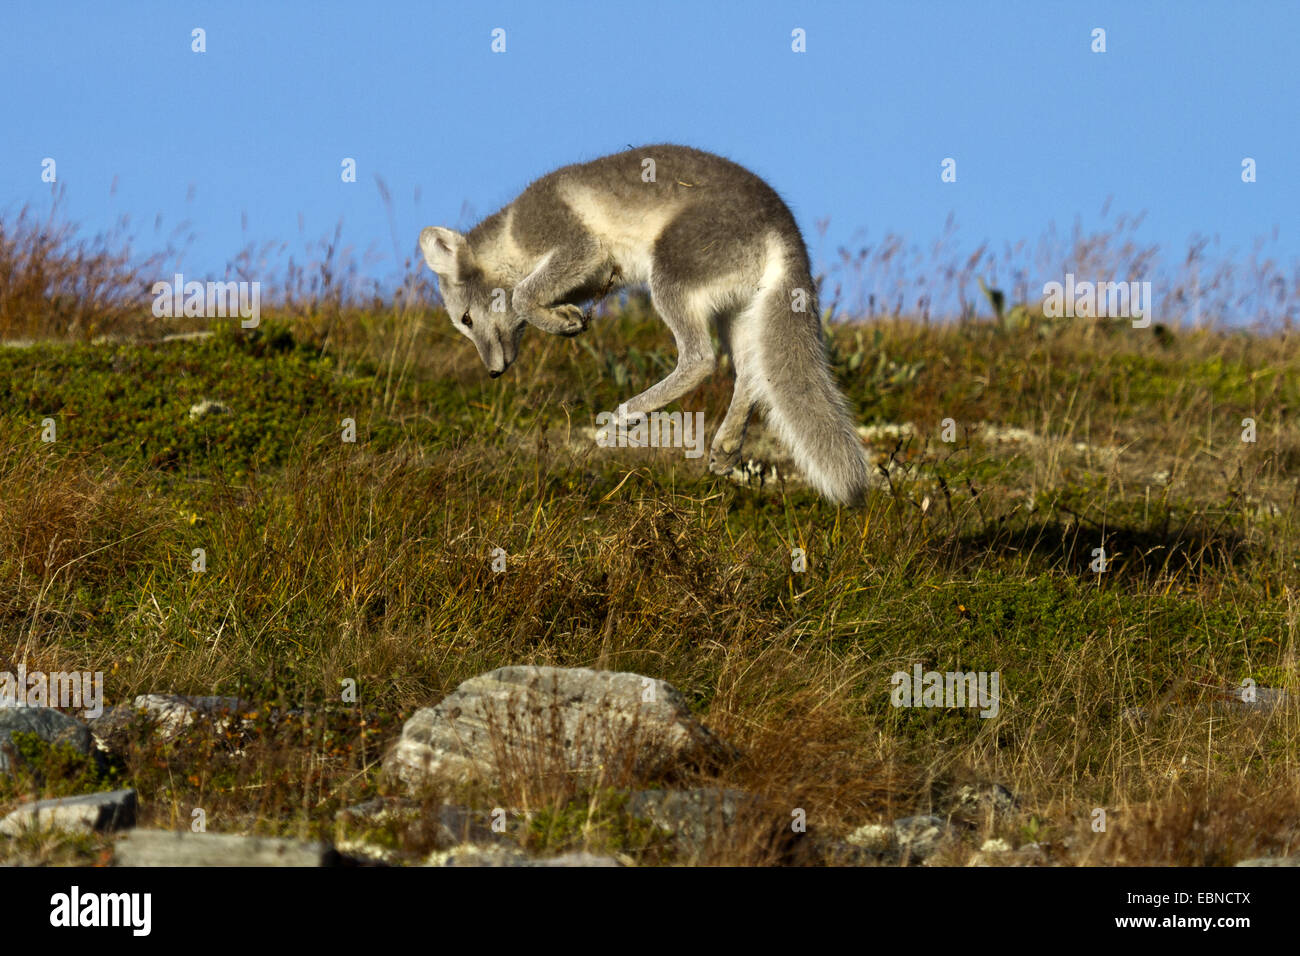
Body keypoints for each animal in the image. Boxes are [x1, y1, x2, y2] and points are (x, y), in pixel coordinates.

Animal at [426, 143, 868, 509]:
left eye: (466, 319)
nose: (493, 372)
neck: (509, 238)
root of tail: (786, 231)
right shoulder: (596, 275)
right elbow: (537, 296)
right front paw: (564, 315)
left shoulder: (578, 246)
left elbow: (520, 294)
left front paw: (556, 318)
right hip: (739, 312)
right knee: (750, 375)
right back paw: (725, 447)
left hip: (670, 273)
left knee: (700, 360)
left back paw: (625, 416)